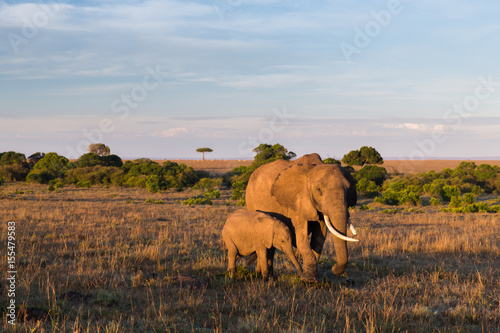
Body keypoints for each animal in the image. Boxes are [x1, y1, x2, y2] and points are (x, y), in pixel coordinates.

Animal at [245, 152, 356, 280]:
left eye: (348, 189)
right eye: (319, 191)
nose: (333, 268)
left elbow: (319, 238)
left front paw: (312, 277)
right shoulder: (298, 203)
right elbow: (301, 239)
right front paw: (308, 280)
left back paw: (270, 276)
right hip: (250, 200)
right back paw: (264, 276)